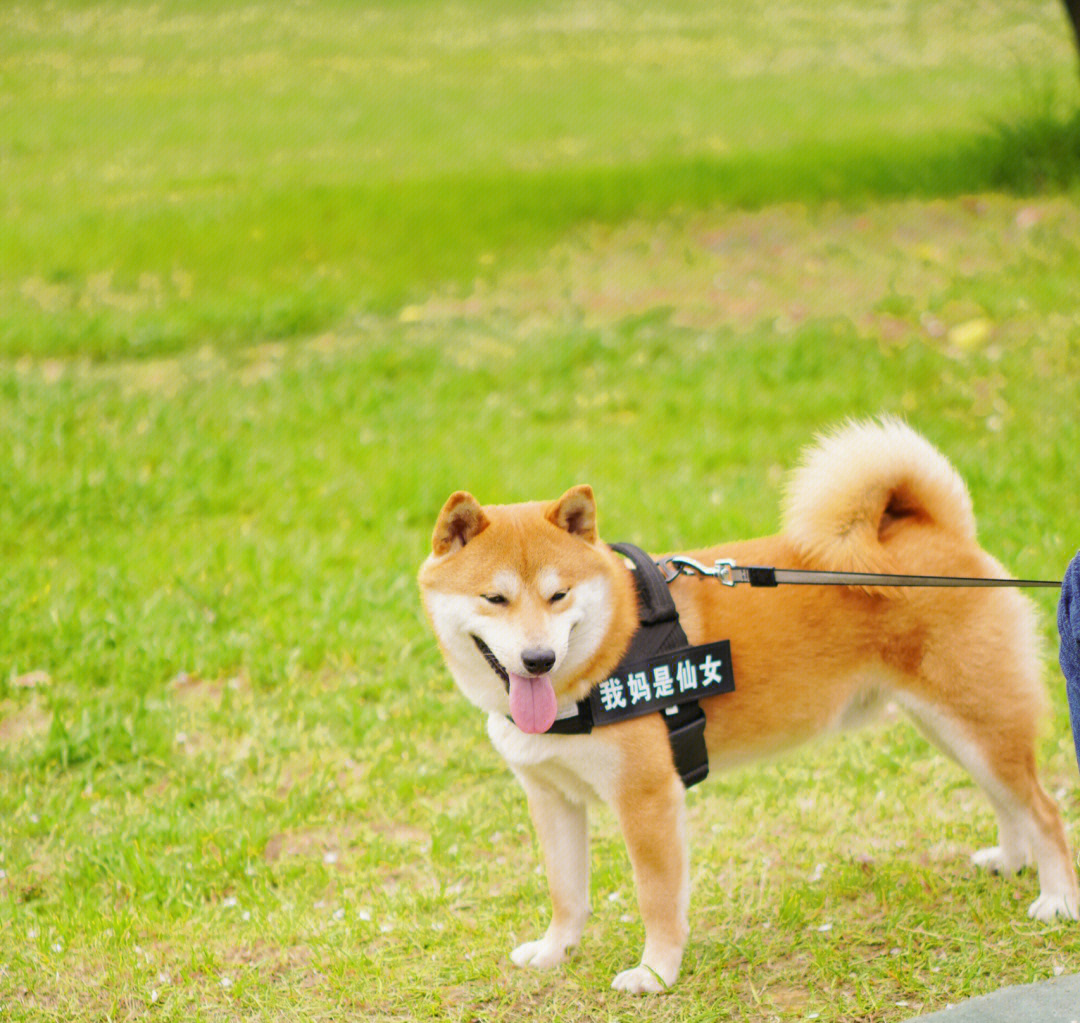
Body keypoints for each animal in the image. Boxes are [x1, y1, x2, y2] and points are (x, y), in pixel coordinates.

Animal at [416, 416, 1075, 993]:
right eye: (495, 598)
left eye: (559, 596)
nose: (538, 660)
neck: (605, 654)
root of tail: (941, 532)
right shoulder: (552, 798)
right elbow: (566, 892)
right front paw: (556, 952)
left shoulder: (648, 800)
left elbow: (656, 898)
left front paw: (655, 974)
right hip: (954, 728)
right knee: (1009, 799)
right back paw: (1011, 860)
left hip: (977, 721)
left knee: (1044, 809)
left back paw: (1057, 899)